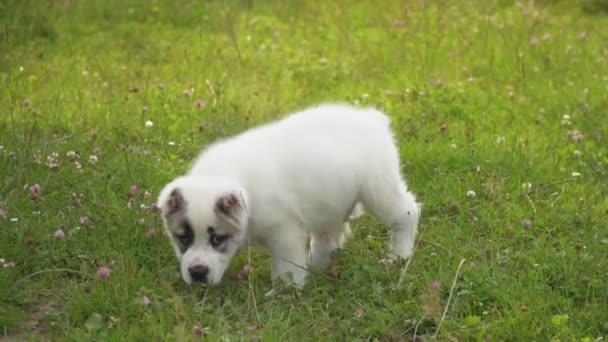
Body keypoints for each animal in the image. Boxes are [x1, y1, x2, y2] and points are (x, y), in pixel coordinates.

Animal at [158, 103, 418, 286]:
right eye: (183, 238)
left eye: (217, 239)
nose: (197, 273)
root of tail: (371, 118)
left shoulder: (285, 233)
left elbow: (286, 269)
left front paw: (284, 293)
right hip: (331, 202)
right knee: (328, 238)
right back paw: (317, 267)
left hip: (379, 188)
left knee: (407, 213)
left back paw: (399, 255)